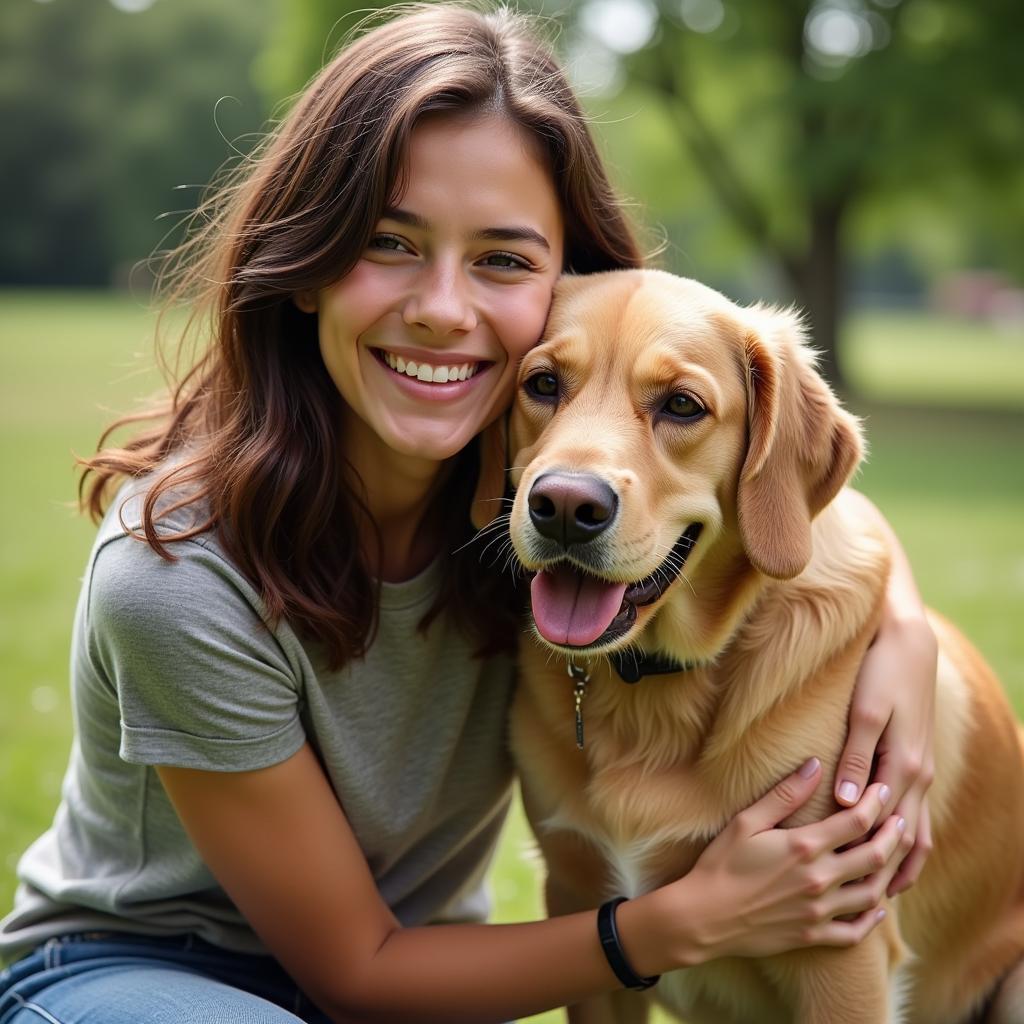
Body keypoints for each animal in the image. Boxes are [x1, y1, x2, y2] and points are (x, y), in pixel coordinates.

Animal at [475, 270, 1024, 1024]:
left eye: (682, 405)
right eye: (544, 384)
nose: (563, 507)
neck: (654, 689)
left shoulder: (842, 951)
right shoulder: (579, 912)